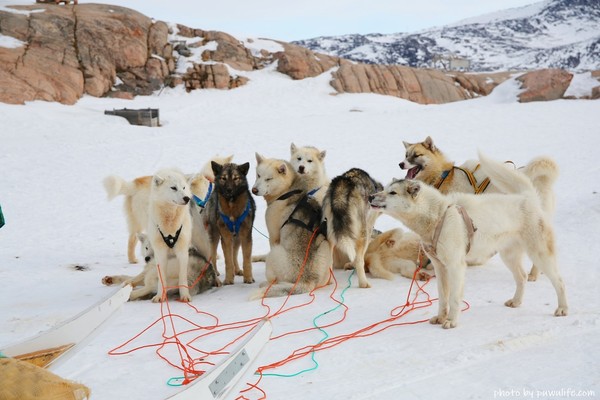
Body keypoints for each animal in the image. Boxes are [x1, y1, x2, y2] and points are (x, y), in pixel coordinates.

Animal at [250, 155, 330, 298]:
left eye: (268, 179)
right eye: (258, 175)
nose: (254, 190)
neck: (288, 190)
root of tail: (306, 280)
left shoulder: (274, 236)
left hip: (274, 254)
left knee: (273, 280)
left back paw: (265, 284)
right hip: (325, 246)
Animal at [368, 153, 568, 328]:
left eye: (392, 192)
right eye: (384, 189)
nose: (370, 197)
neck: (439, 216)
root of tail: (527, 197)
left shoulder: (456, 266)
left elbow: (454, 298)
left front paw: (451, 321)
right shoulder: (440, 268)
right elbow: (443, 298)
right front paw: (441, 317)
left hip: (539, 254)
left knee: (558, 281)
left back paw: (563, 308)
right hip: (509, 256)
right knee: (522, 277)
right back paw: (516, 301)